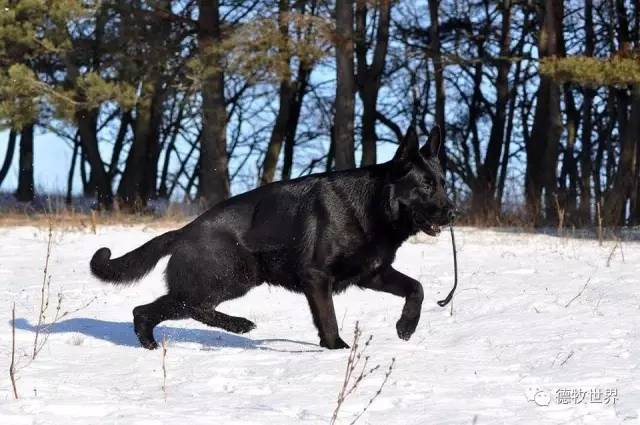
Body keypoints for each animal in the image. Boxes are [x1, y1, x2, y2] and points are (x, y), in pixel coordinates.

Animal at [91, 125, 456, 348]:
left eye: (442, 182)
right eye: (425, 185)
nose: (453, 213)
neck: (372, 206)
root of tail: (185, 231)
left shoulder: (372, 273)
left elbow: (417, 288)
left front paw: (406, 326)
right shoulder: (317, 279)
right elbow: (329, 320)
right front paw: (336, 349)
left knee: (153, 310)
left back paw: (153, 343)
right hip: (232, 278)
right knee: (180, 307)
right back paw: (237, 325)